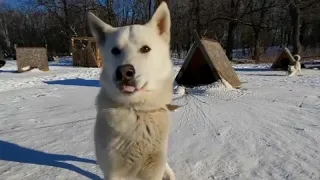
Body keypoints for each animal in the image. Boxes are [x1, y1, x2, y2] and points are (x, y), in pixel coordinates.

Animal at [88, 2, 175, 180]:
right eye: (115, 50)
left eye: (145, 49)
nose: (124, 72)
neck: (136, 110)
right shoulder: (113, 171)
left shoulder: (153, 170)